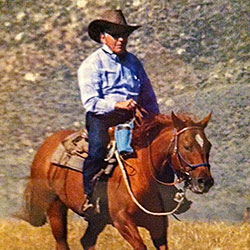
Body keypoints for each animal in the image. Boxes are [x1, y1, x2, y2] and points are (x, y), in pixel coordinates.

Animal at [23, 112, 215, 249]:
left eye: (208, 145)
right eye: (187, 146)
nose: (205, 181)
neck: (143, 174)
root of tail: (46, 146)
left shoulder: (158, 225)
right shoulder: (122, 222)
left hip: (97, 219)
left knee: (87, 241)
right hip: (55, 208)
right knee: (62, 242)